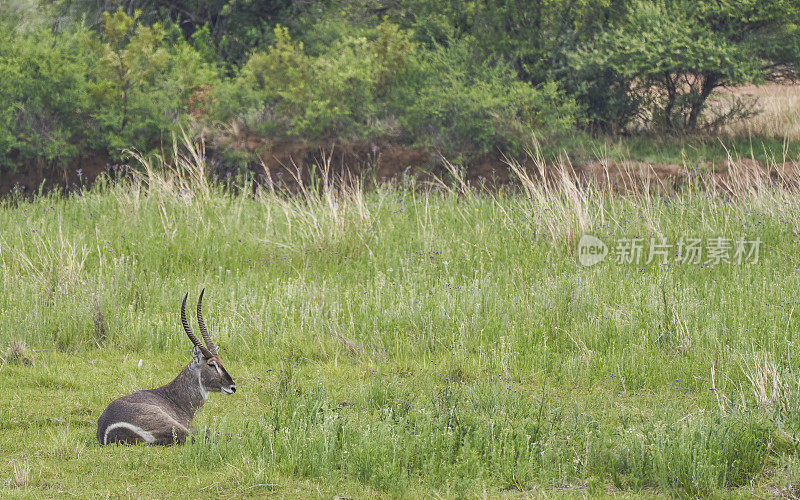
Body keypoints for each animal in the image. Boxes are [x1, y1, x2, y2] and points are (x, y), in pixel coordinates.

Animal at [96, 292, 234, 448]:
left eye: (221, 362)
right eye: (211, 364)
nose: (232, 387)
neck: (174, 398)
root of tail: (108, 432)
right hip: (170, 424)